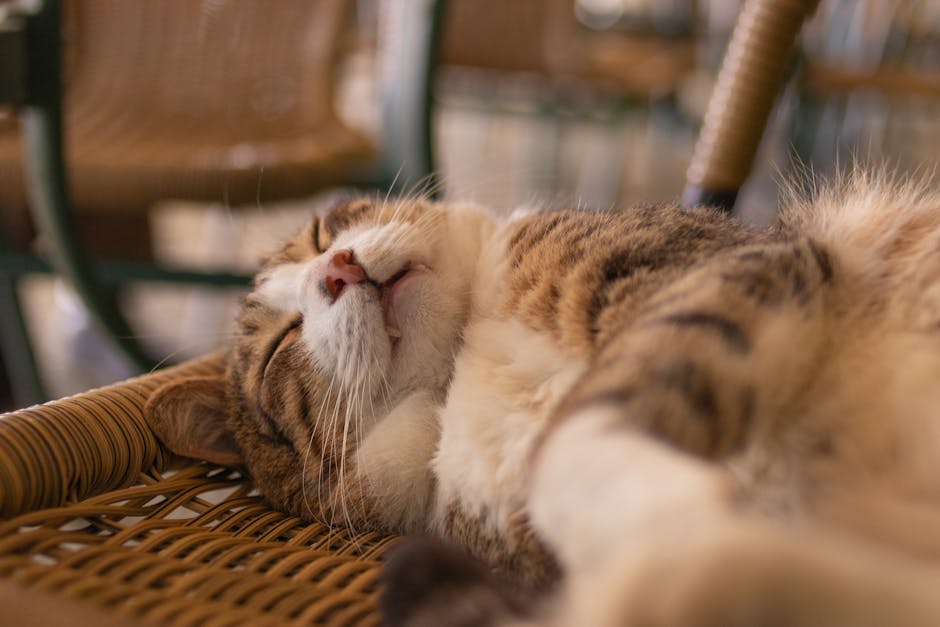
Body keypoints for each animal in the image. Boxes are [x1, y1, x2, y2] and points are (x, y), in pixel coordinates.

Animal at [149, 173, 940, 627]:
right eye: (278, 348)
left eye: (325, 231)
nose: (339, 267)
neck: (463, 363)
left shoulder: (716, 266)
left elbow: (584, 430)